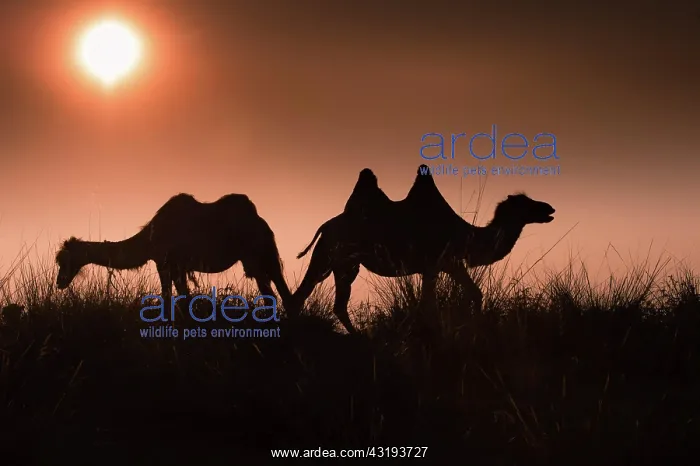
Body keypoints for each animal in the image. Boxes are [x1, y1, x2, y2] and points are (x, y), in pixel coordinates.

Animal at [55, 193, 293, 310]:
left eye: (63, 261)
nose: (59, 282)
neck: (149, 240)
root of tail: (263, 224)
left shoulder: (166, 263)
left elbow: (170, 296)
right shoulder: (175, 266)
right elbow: (182, 297)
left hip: (257, 253)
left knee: (275, 292)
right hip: (258, 257)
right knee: (276, 292)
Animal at [290, 164, 556, 333]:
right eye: (526, 203)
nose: (549, 208)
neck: (466, 236)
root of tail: (325, 225)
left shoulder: (450, 264)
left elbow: (474, 293)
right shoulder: (433, 265)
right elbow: (429, 304)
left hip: (343, 263)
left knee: (330, 301)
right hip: (331, 255)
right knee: (306, 293)